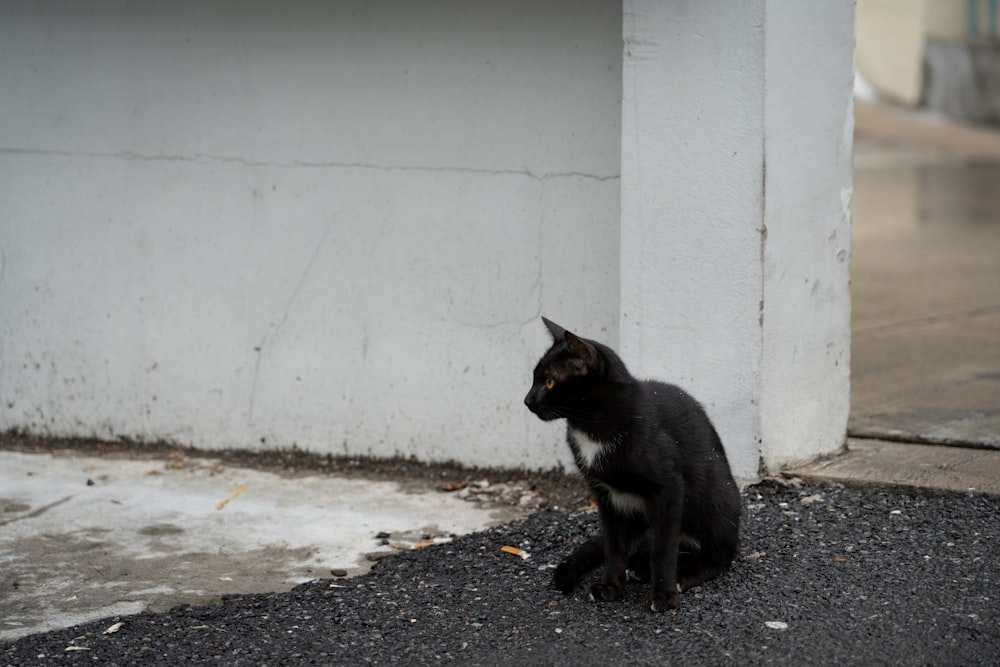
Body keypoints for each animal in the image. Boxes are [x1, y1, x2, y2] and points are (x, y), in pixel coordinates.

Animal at [528, 318, 740, 616]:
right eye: (534, 379)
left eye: (549, 382)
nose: (527, 400)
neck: (591, 430)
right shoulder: (605, 497)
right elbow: (614, 546)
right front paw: (610, 587)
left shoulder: (669, 488)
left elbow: (664, 548)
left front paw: (663, 594)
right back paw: (639, 565)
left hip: (715, 501)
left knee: (719, 555)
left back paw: (682, 574)